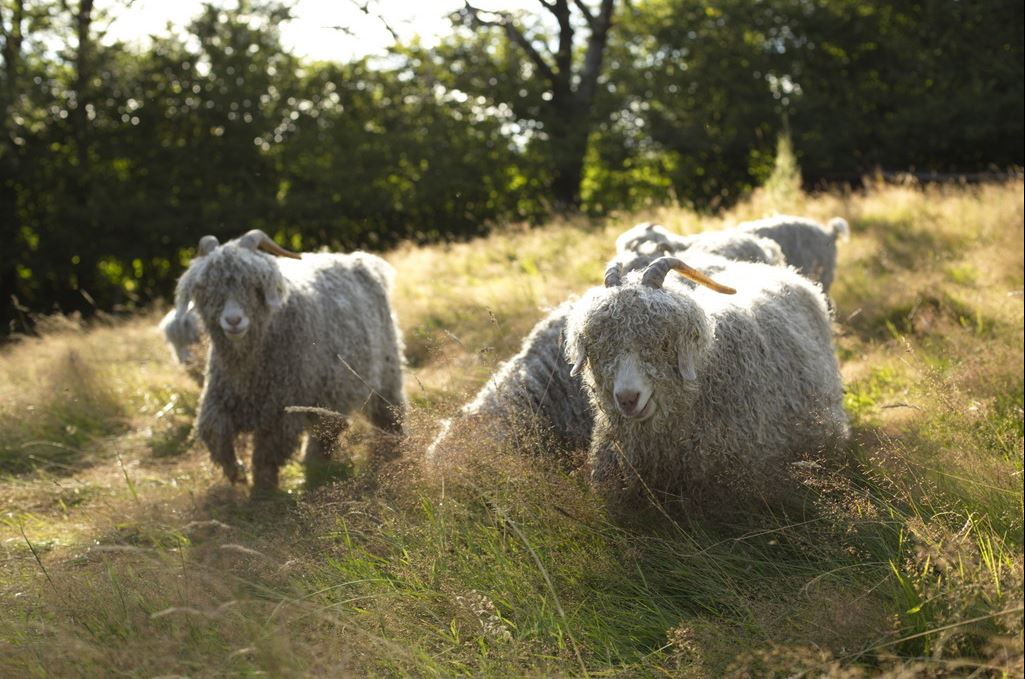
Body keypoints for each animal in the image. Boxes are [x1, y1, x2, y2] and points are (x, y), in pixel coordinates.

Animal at [174, 229, 406, 490]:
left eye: (255, 285)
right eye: (207, 289)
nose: (233, 321)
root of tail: (362, 260)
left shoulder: (282, 410)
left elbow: (266, 455)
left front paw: (262, 490)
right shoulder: (219, 398)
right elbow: (213, 433)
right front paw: (237, 473)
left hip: (386, 371)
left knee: (387, 412)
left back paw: (393, 448)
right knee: (326, 431)